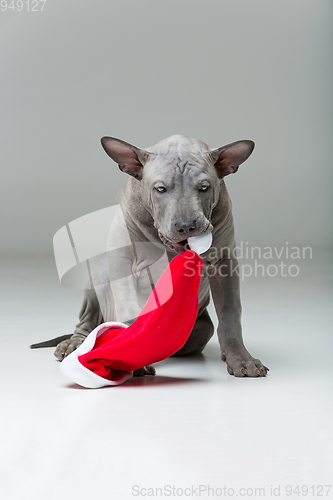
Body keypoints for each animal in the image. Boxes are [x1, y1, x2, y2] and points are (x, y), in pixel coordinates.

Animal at [33, 135, 268, 376]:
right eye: (160, 189)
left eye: (204, 187)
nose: (186, 226)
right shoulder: (122, 260)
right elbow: (127, 306)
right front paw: (129, 356)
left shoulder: (224, 262)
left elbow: (230, 312)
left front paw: (241, 360)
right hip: (98, 278)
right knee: (88, 321)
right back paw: (76, 343)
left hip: (201, 329)